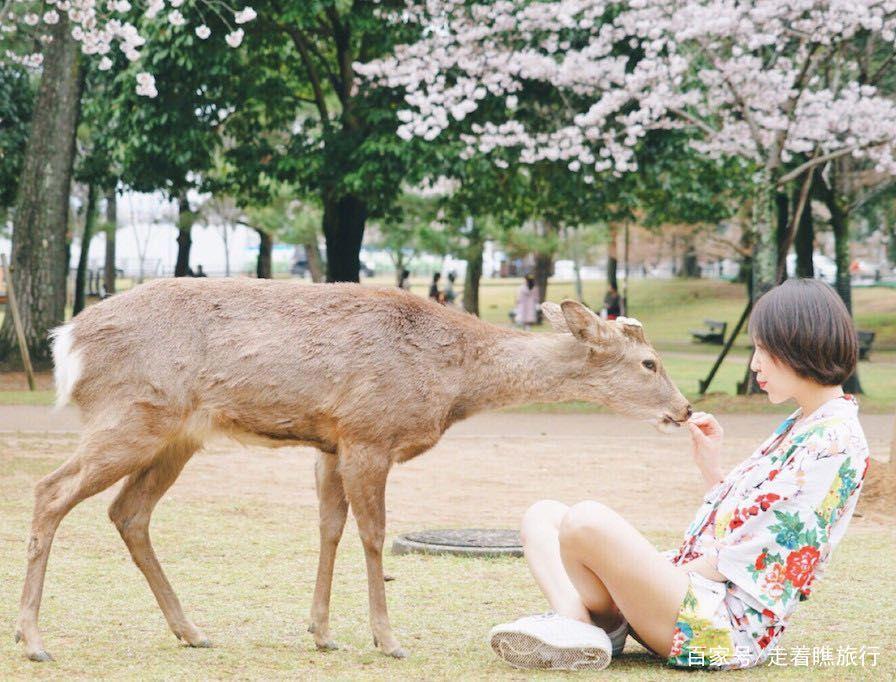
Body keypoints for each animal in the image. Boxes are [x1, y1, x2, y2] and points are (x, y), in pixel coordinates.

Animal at [15, 276, 692, 660]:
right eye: (650, 363)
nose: (685, 410)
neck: (452, 382)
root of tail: (66, 340)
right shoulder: (368, 431)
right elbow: (372, 535)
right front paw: (387, 640)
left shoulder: (330, 443)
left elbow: (329, 528)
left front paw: (322, 632)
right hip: (132, 415)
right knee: (50, 490)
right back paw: (33, 640)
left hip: (176, 437)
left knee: (127, 512)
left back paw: (192, 631)